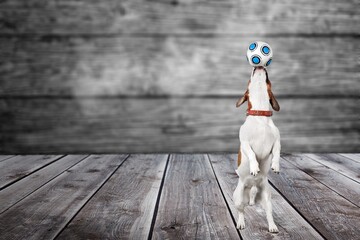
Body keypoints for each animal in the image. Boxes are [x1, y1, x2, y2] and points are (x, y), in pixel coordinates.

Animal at [233, 65, 282, 232]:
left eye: (268, 80)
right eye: (248, 80)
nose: (259, 65)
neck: (260, 116)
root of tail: (252, 189)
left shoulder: (277, 142)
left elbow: (277, 153)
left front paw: (275, 165)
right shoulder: (245, 142)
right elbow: (252, 154)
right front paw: (254, 166)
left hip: (267, 197)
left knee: (268, 212)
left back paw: (272, 226)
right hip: (238, 198)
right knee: (241, 210)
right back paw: (241, 222)